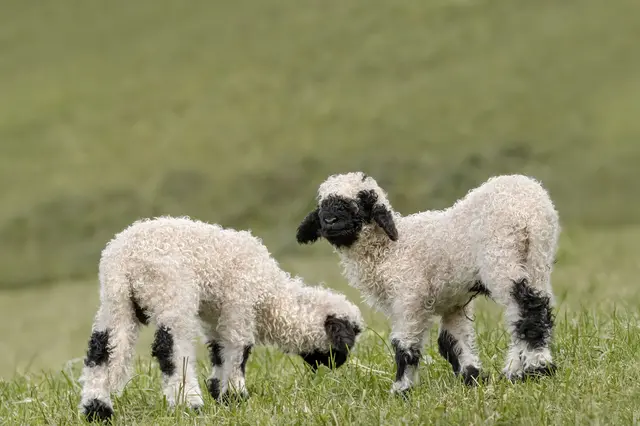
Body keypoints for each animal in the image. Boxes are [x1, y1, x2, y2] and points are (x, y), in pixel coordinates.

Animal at [79, 216, 364, 422]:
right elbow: (239, 349)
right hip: (170, 292)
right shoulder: (240, 303)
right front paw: (237, 395)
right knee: (171, 348)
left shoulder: (215, 314)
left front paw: (220, 393)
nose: (337, 365)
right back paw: (189, 404)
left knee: (101, 350)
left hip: (116, 303)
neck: (270, 297)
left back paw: (97, 409)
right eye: (345, 341)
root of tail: (123, 260)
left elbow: (219, 350)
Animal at [295, 172, 560, 394]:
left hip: (502, 256)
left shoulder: (409, 296)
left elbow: (405, 345)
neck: (389, 251)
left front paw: (402, 388)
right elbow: (454, 340)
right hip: (537, 259)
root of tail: (531, 202)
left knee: (528, 307)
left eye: (361, 201)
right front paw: (471, 377)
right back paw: (518, 370)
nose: (330, 220)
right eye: (323, 204)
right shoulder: (453, 302)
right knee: (530, 312)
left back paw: (536, 367)